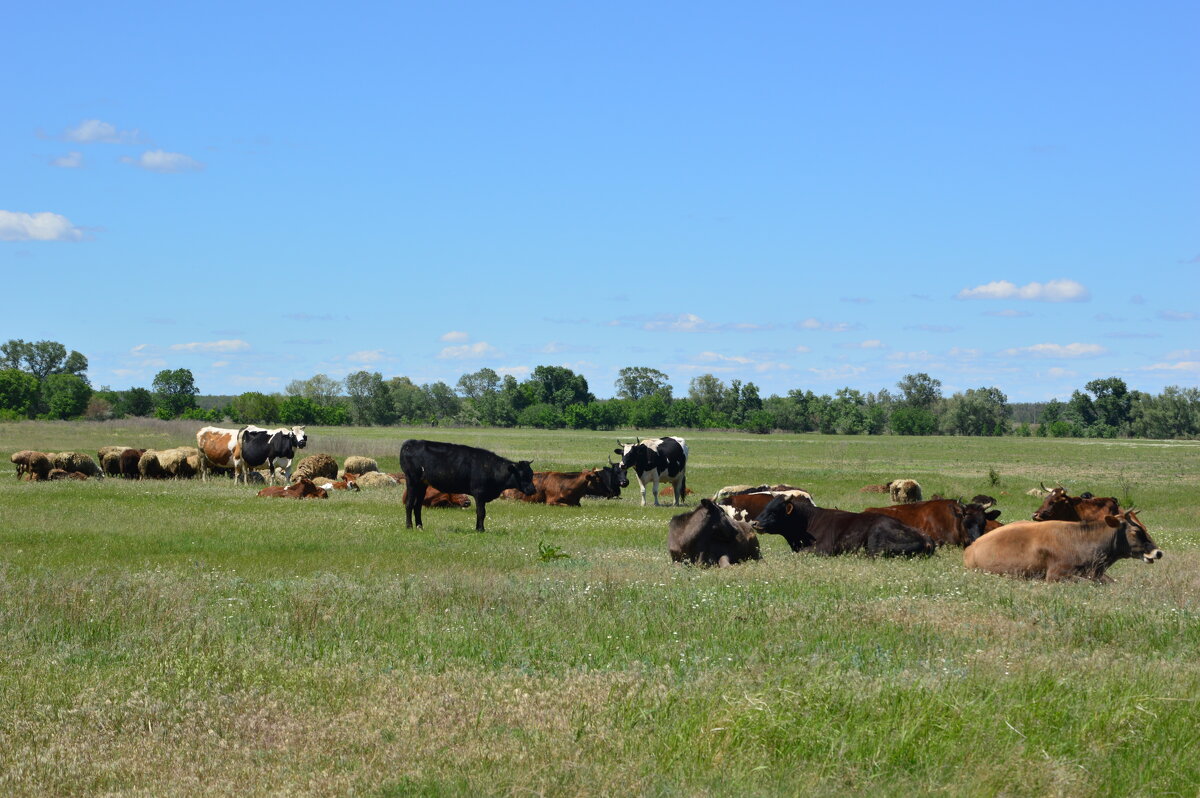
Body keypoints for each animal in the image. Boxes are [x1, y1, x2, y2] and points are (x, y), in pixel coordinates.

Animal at [400, 439, 537, 532]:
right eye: (522, 475)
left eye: (531, 474)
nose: (532, 490)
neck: (492, 469)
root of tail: (410, 443)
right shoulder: (479, 493)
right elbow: (481, 512)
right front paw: (481, 530)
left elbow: (480, 512)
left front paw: (477, 528)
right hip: (412, 481)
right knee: (409, 504)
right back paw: (409, 526)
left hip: (422, 485)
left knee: (417, 506)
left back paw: (420, 526)